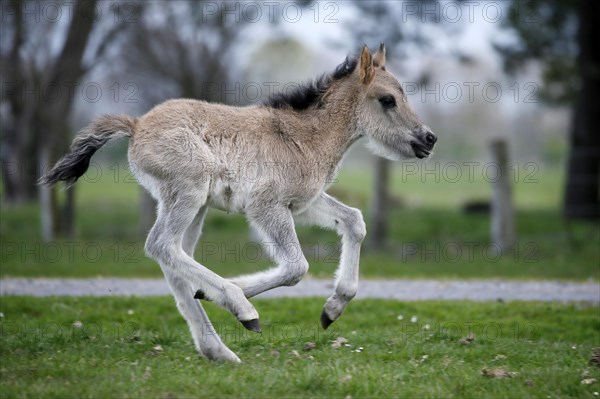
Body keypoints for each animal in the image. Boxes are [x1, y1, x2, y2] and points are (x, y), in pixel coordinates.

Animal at [41, 43, 436, 362]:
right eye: (387, 100)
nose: (429, 139)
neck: (304, 138)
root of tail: (136, 126)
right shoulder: (266, 206)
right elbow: (297, 267)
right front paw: (231, 298)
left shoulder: (303, 204)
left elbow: (354, 220)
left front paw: (332, 309)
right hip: (188, 192)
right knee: (161, 245)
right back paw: (239, 307)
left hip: (194, 206)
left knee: (175, 259)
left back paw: (218, 351)